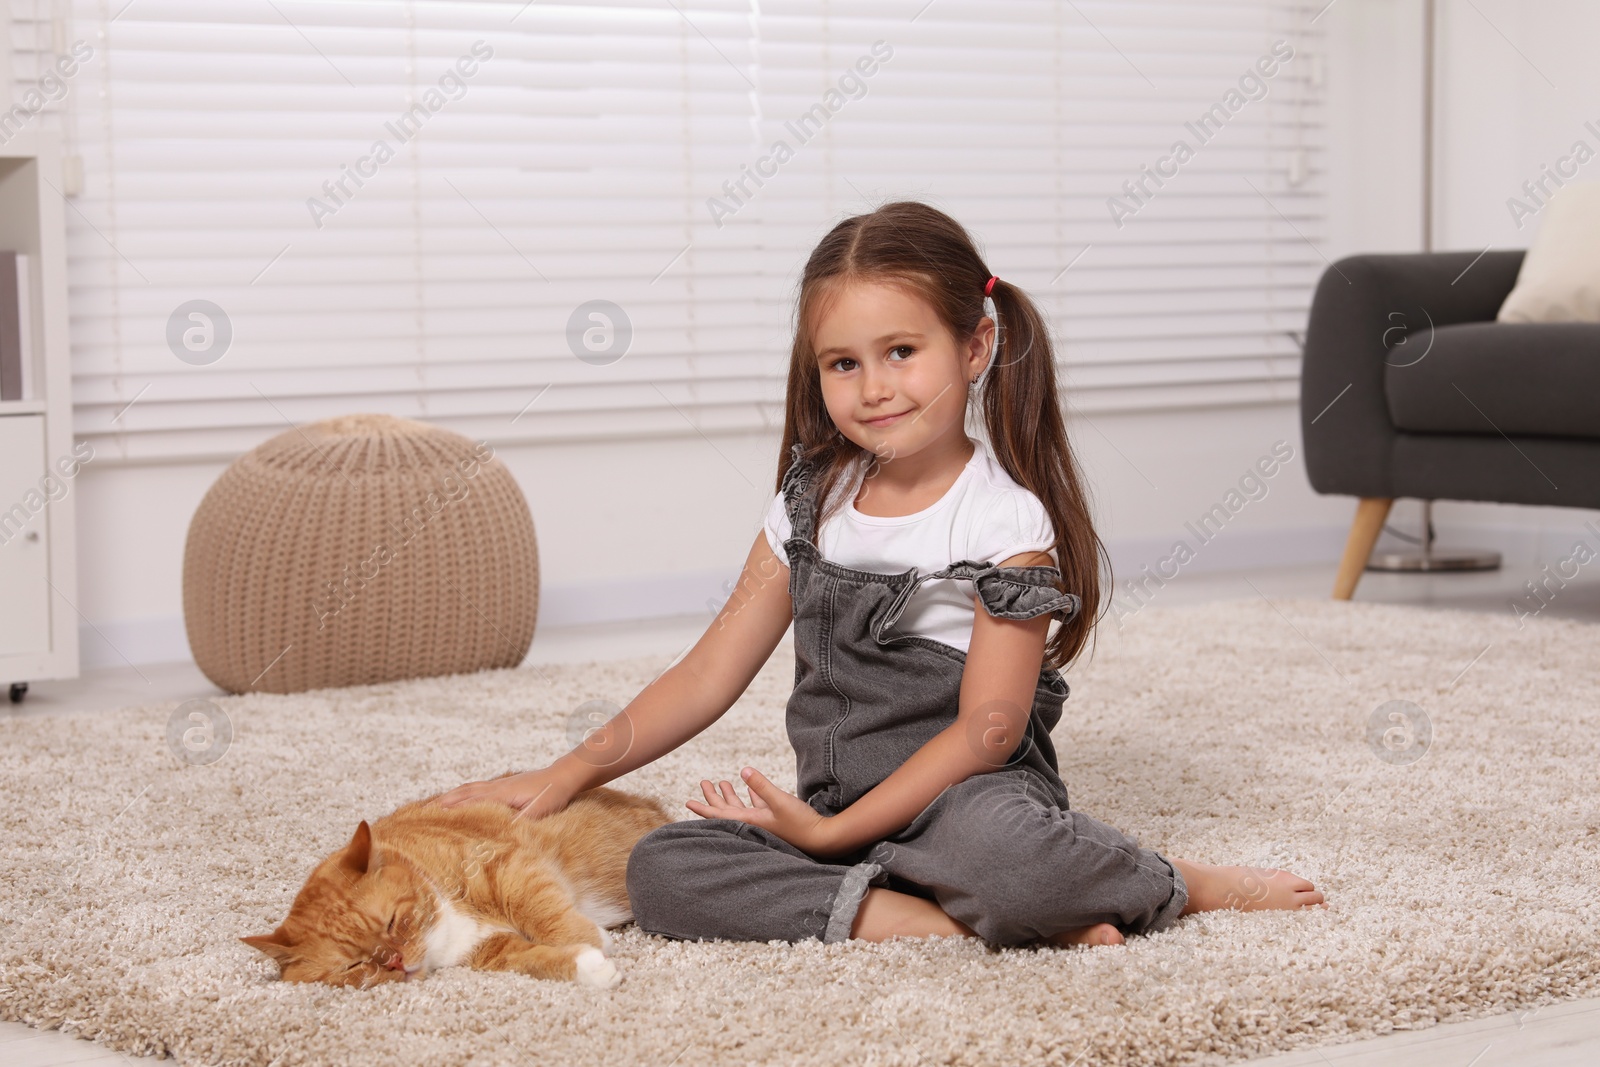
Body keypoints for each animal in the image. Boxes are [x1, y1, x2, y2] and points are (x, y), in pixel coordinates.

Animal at [236, 777, 668, 991]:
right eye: (354, 965)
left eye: (392, 922)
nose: (395, 962)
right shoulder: (491, 952)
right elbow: (534, 960)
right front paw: (591, 967)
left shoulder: (505, 867)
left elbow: (541, 911)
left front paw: (592, 939)